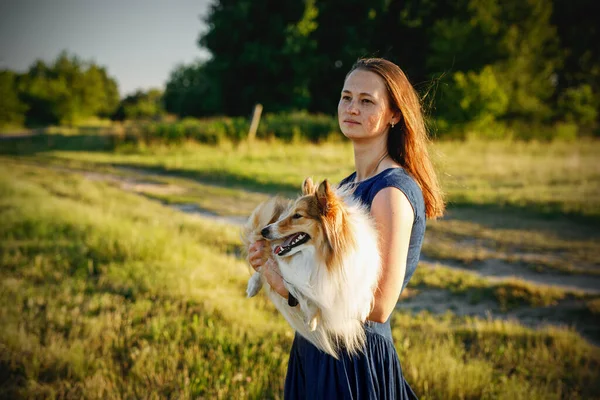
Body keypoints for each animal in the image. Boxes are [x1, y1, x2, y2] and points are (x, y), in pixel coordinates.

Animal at [240, 177, 378, 358]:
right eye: (292, 213)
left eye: (298, 216)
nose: (265, 231)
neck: (324, 257)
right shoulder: (298, 276)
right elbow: (308, 295)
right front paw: (312, 319)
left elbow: (362, 290)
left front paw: (363, 307)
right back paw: (252, 286)